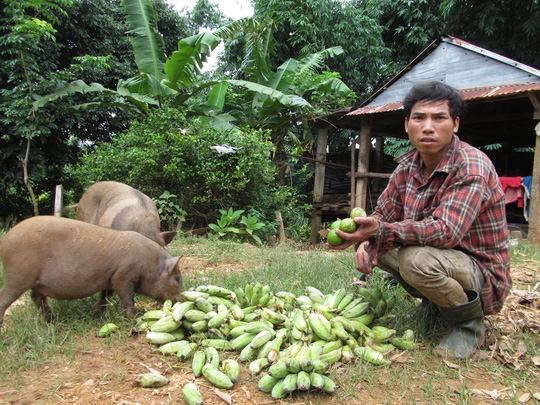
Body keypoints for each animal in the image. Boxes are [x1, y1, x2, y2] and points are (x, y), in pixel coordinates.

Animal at [0, 215, 184, 328]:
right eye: (177, 279)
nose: (181, 300)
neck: (150, 265)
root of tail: (5, 240)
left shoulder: (111, 278)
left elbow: (104, 297)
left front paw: (94, 316)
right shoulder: (124, 277)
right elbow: (128, 300)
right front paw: (134, 319)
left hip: (34, 282)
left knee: (37, 297)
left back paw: (53, 321)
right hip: (18, 276)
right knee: (5, 299)